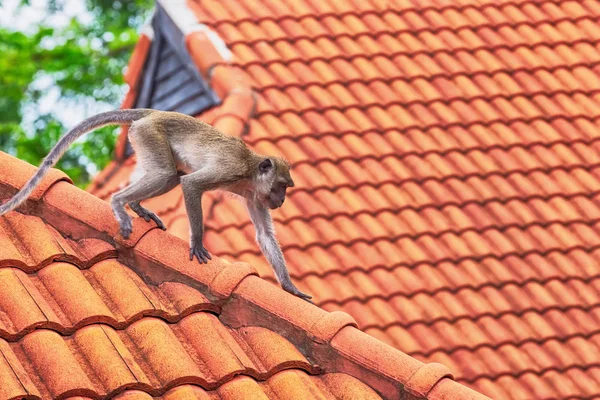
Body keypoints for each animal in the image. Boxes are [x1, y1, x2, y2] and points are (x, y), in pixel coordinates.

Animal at [0, 108, 312, 300]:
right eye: (281, 186)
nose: (281, 199)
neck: (249, 170)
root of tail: (154, 113)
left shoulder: (255, 196)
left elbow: (264, 235)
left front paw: (289, 286)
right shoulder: (231, 170)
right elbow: (191, 185)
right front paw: (197, 243)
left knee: (170, 176)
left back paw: (137, 206)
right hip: (150, 133)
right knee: (167, 174)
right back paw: (120, 203)